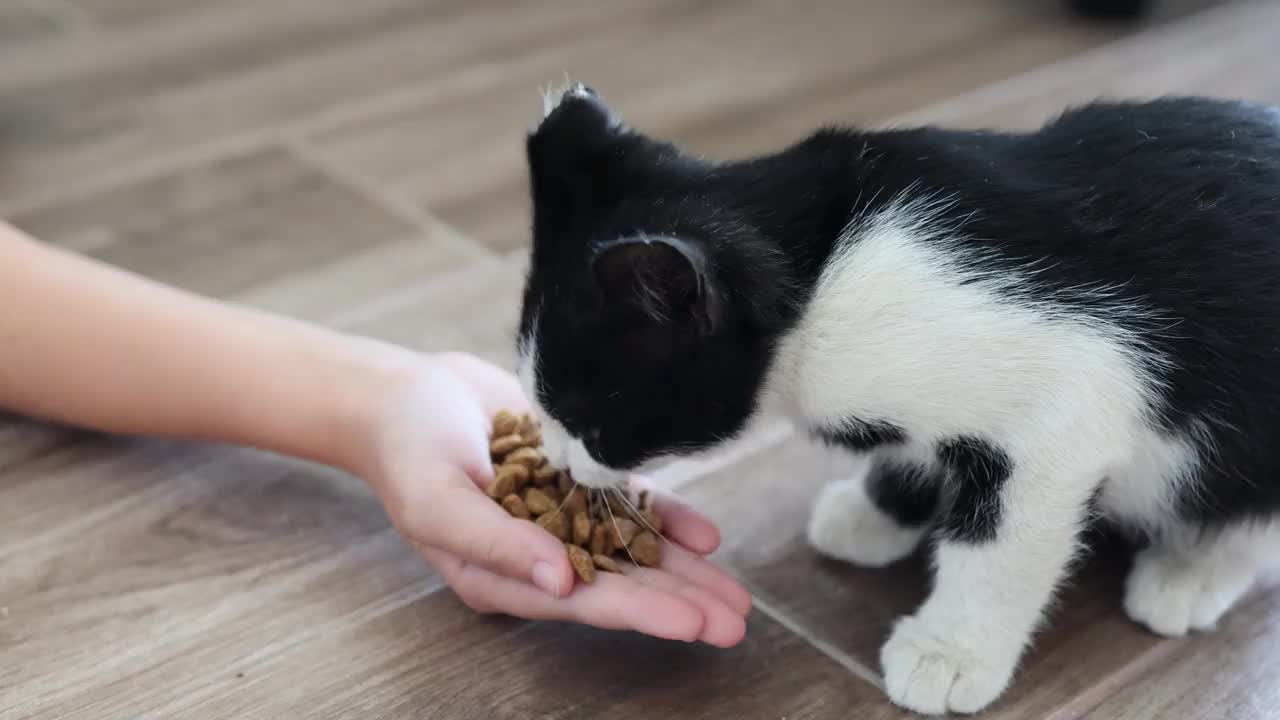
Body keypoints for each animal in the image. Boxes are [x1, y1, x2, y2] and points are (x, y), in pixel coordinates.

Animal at [509, 83, 1280, 712]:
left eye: (589, 422)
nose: (559, 458)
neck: (821, 271)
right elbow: (918, 447)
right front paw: (877, 510)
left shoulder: (1075, 394)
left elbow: (1002, 540)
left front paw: (951, 651)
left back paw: (1192, 571)